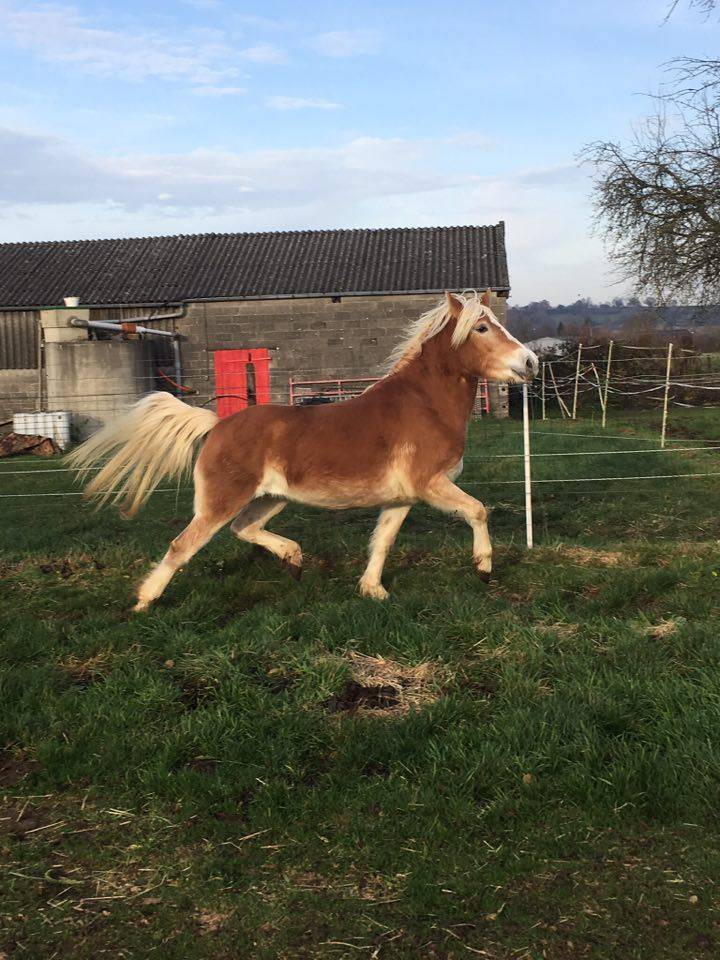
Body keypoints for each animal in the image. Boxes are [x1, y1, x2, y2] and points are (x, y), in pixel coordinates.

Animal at [67, 290, 538, 611]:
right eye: (482, 328)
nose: (531, 363)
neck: (423, 404)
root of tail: (216, 425)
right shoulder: (431, 485)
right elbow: (478, 510)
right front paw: (483, 568)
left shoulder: (402, 498)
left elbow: (383, 541)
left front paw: (373, 589)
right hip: (220, 502)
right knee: (183, 545)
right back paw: (145, 601)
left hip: (271, 498)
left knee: (243, 528)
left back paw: (293, 560)